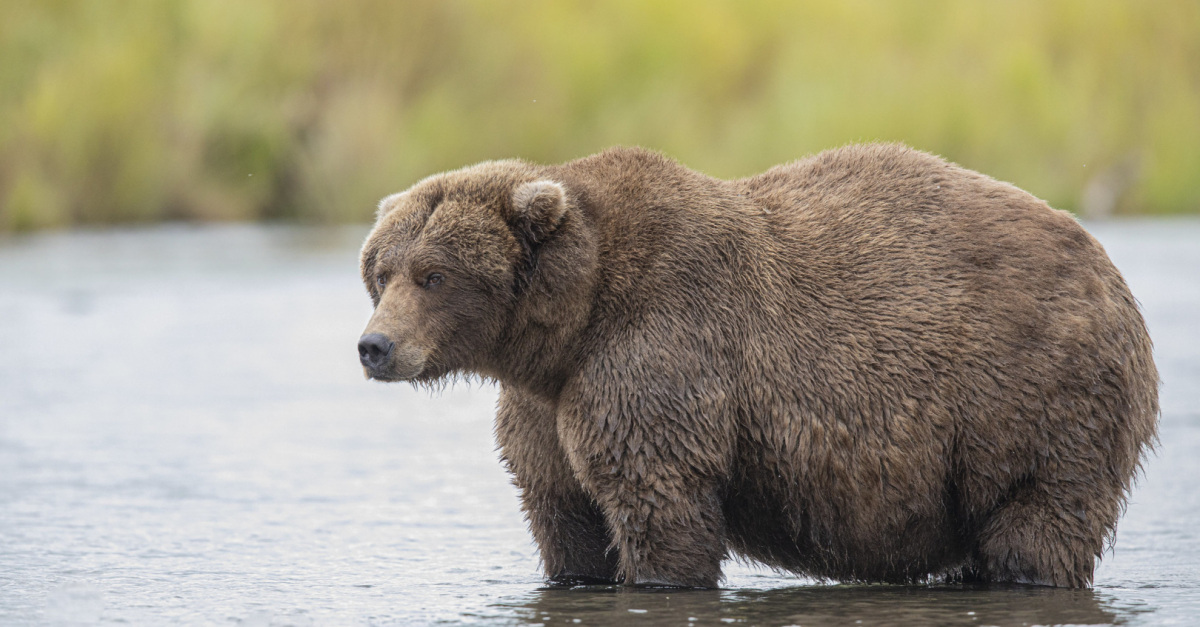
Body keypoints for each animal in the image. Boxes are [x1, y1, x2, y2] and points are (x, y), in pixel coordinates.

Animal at [356, 144, 1158, 589]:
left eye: (433, 274)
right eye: (381, 270)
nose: (375, 346)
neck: (566, 329)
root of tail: (1109, 269)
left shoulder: (657, 353)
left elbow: (659, 501)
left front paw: (660, 575)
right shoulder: (543, 406)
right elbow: (564, 513)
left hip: (1033, 391)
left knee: (1036, 517)